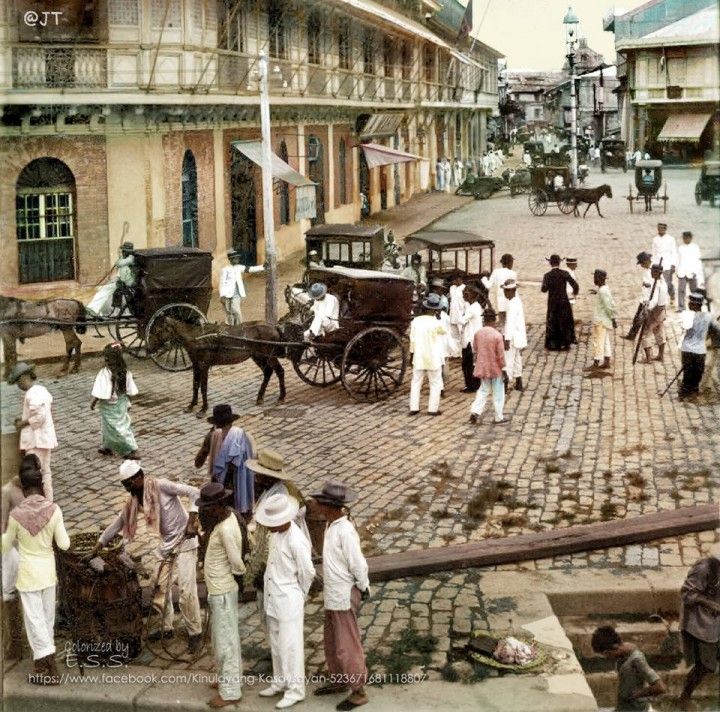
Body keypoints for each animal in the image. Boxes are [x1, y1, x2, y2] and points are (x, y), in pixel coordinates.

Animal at [150, 316, 286, 414]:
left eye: (158, 330)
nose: (148, 348)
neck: (197, 338)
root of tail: (274, 327)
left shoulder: (204, 365)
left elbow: (203, 387)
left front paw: (203, 409)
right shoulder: (196, 365)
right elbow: (195, 385)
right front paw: (191, 405)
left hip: (270, 356)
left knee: (280, 371)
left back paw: (281, 397)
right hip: (258, 356)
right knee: (268, 372)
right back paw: (260, 398)